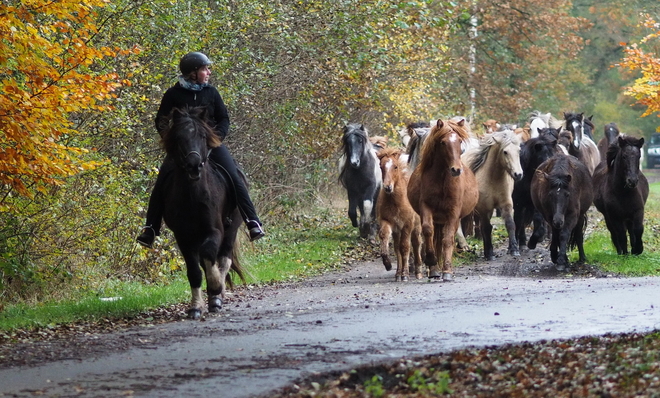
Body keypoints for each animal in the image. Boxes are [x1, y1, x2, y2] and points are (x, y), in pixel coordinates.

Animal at [160, 106, 245, 320]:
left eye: (203, 135)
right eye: (179, 137)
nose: (194, 164)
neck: (193, 195)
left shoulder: (215, 230)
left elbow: (209, 256)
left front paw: (215, 287)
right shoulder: (183, 236)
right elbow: (194, 271)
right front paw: (196, 307)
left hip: (232, 229)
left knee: (224, 259)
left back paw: (217, 297)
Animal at [376, 148, 422, 282]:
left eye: (395, 166)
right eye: (381, 166)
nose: (387, 187)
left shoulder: (407, 224)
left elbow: (405, 247)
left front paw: (405, 274)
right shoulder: (388, 222)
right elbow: (387, 239)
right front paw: (388, 265)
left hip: (416, 227)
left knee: (416, 244)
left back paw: (418, 272)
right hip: (398, 231)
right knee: (397, 247)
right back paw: (398, 273)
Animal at [404, 116, 476, 282]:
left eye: (459, 141)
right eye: (442, 142)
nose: (456, 170)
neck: (442, 180)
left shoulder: (453, 211)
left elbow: (448, 238)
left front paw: (446, 270)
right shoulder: (425, 208)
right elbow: (427, 232)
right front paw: (431, 264)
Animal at [462, 130, 524, 262]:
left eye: (519, 150)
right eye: (505, 152)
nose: (518, 174)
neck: (494, 178)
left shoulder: (506, 204)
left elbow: (510, 224)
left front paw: (514, 249)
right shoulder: (485, 208)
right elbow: (486, 228)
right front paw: (490, 253)